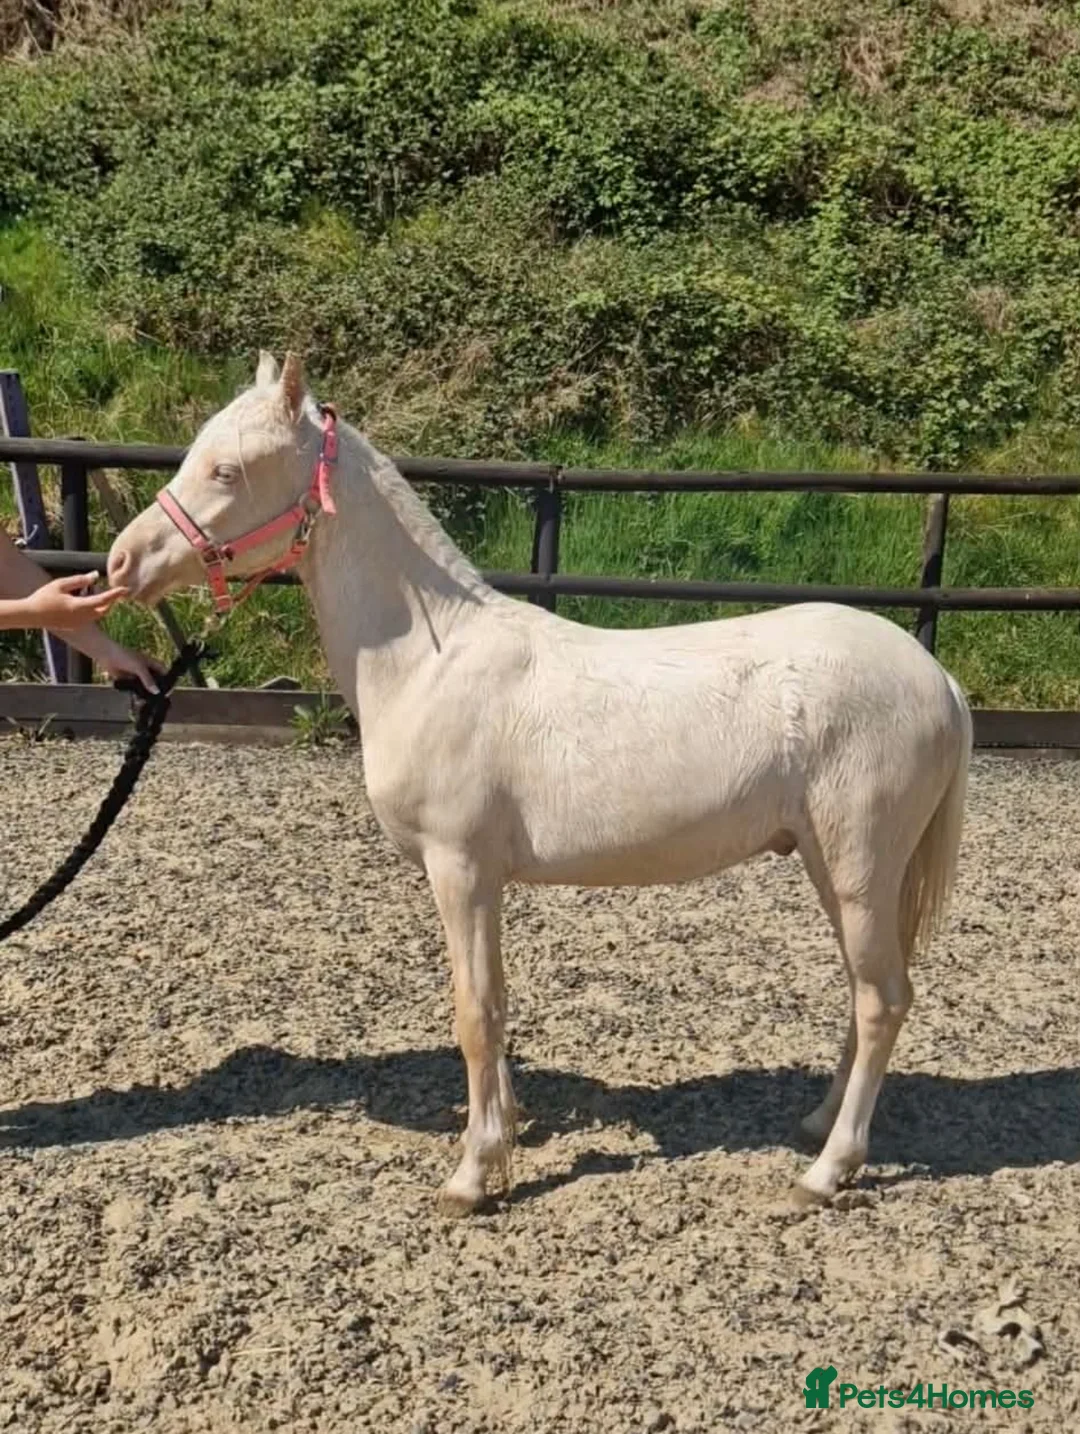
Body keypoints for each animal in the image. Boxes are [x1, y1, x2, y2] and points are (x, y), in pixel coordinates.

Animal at [108, 351, 973, 1216]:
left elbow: (475, 1012)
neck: (431, 658)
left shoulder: (459, 868)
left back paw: (828, 1168)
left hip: (859, 865)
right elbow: (493, 1004)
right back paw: (817, 1123)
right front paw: (507, 1132)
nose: (122, 562)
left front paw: (473, 1174)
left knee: (883, 999)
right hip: (834, 867)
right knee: (865, 992)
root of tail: (938, 677)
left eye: (227, 469)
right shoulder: (481, 877)